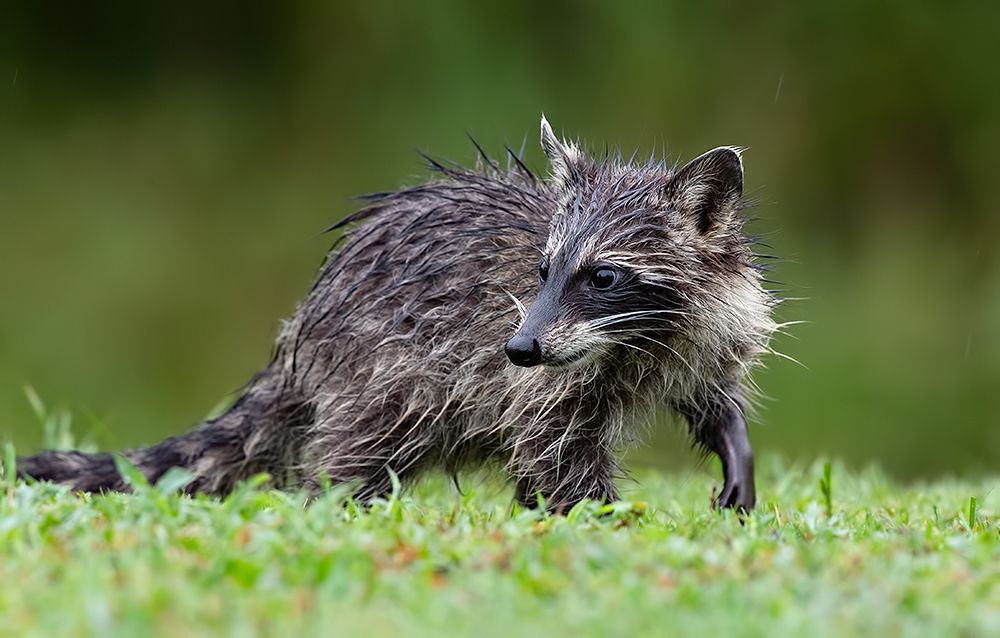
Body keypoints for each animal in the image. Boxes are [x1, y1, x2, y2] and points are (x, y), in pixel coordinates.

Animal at [18, 116, 777, 512]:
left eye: (604, 276)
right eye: (542, 270)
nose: (520, 349)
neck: (638, 340)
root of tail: (299, 339)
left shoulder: (704, 332)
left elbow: (712, 396)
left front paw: (734, 447)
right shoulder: (540, 379)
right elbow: (555, 448)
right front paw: (604, 520)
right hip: (377, 373)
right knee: (356, 452)